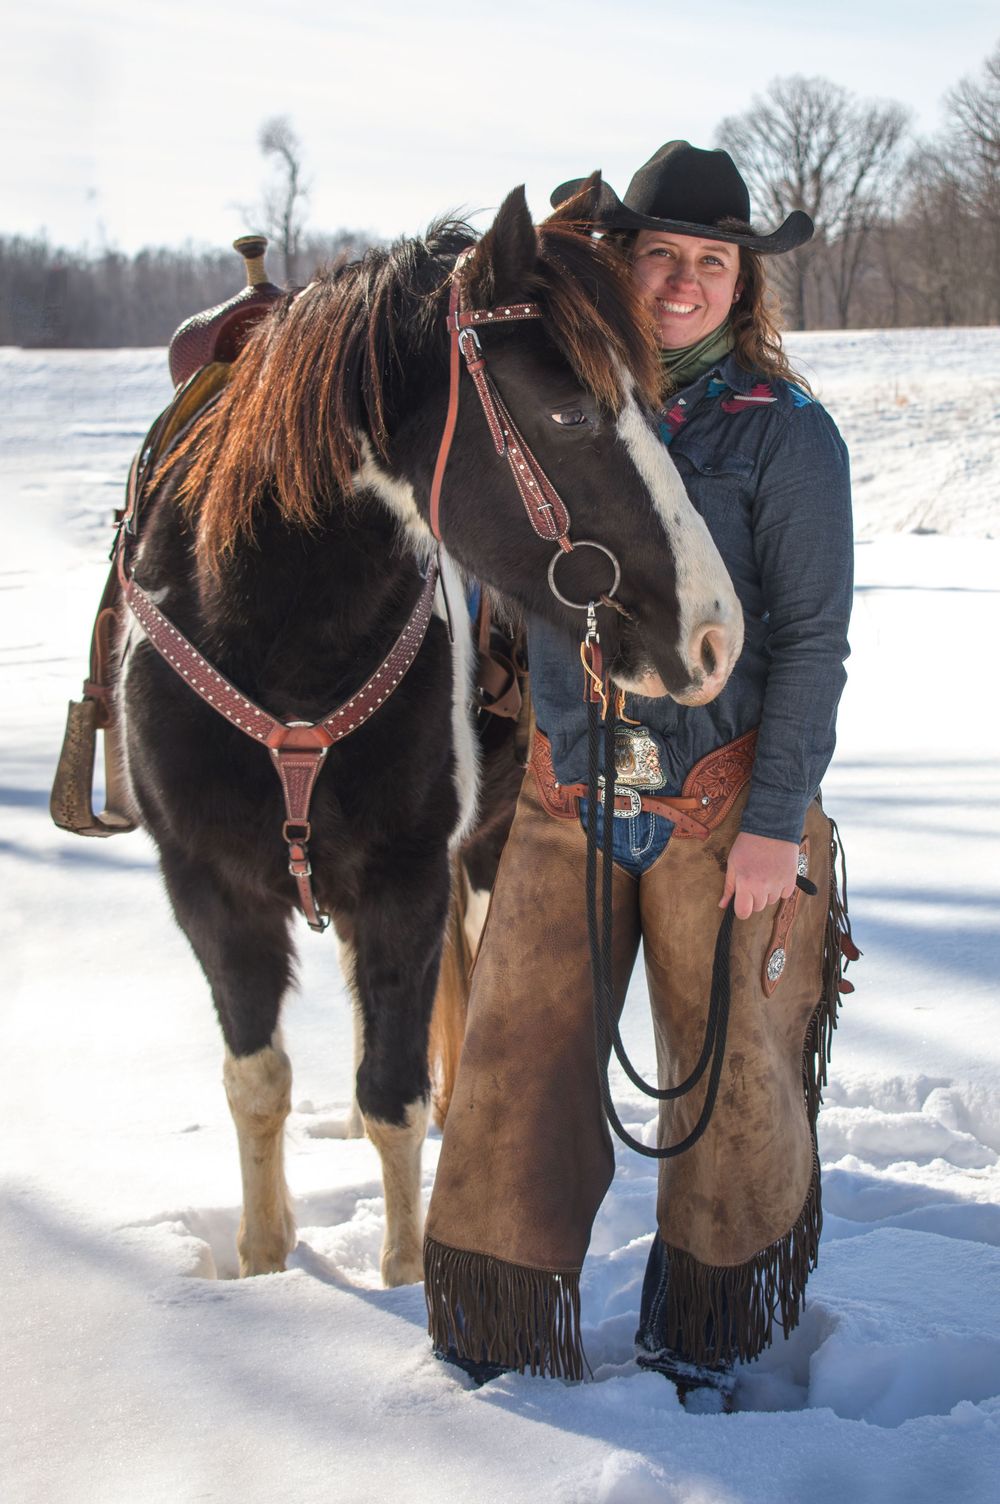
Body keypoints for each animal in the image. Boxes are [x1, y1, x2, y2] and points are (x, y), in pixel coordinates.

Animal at [115, 180, 744, 1287]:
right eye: (570, 409)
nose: (717, 633)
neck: (276, 634)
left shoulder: (403, 880)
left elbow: (392, 1093)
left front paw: (408, 1276)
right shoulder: (208, 884)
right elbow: (257, 1081)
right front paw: (264, 1266)